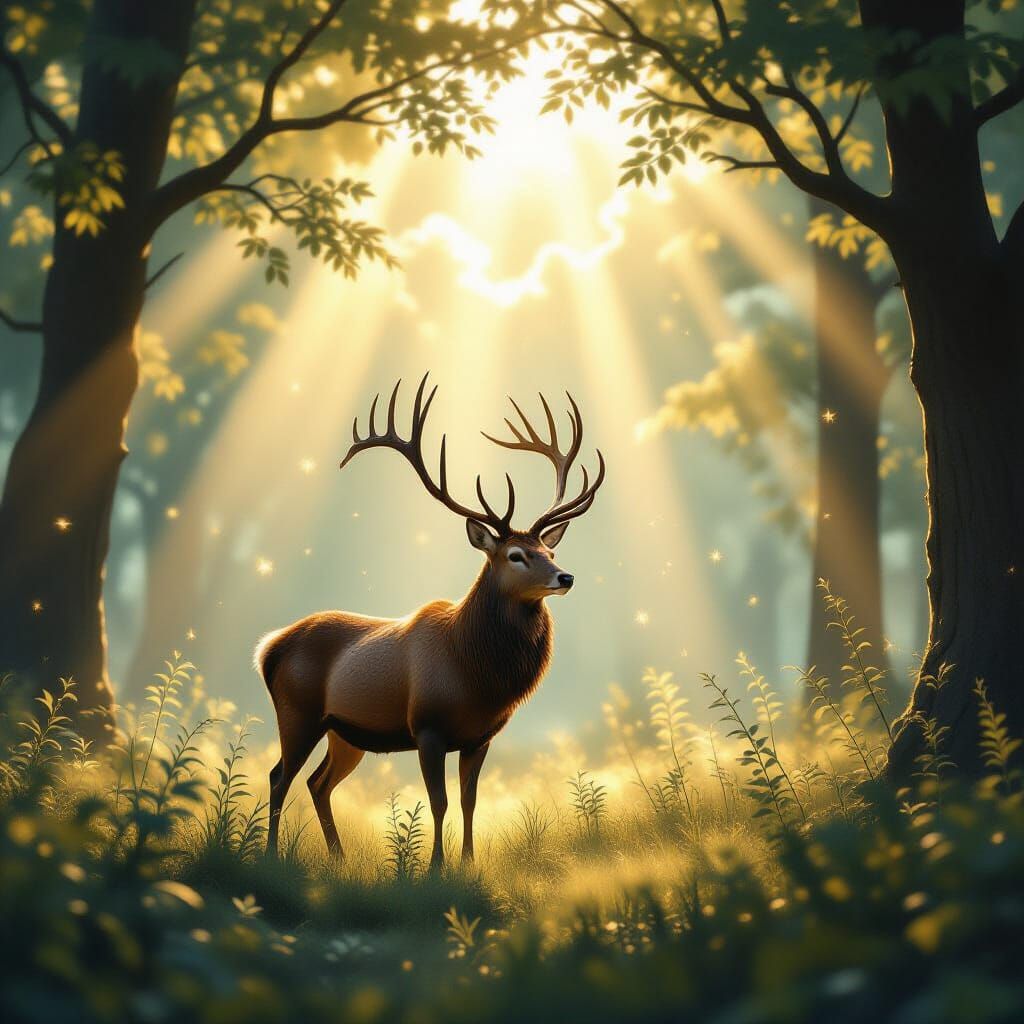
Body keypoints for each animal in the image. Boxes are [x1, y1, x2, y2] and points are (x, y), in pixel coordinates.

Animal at [255, 374, 605, 866]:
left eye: (549, 551)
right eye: (516, 555)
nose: (565, 576)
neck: (477, 673)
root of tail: (267, 648)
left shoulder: (480, 737)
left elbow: (469, 801)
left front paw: (468, 863)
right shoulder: (428, 727)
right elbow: (438, 802)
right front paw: (435, 867)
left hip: (344, 733)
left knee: (317, 783)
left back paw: (339, 858)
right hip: (297, 713)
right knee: (279, 776)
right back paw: (269, 855)